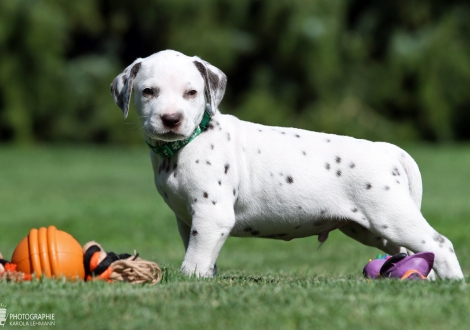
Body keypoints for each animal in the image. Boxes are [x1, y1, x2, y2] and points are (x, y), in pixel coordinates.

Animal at [112, 49, 464, 280]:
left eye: (191, 92)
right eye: (148, 91)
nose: (171, 119)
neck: (185, 144)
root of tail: (389, 151)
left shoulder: (212, 215)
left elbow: (195, 259)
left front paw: (189, 282)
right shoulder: (188, 219)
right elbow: (199, 250)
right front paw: (205, 279)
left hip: (391, 215)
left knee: (439, 244)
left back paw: (453, 286)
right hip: (370, 230)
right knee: (412, 253)